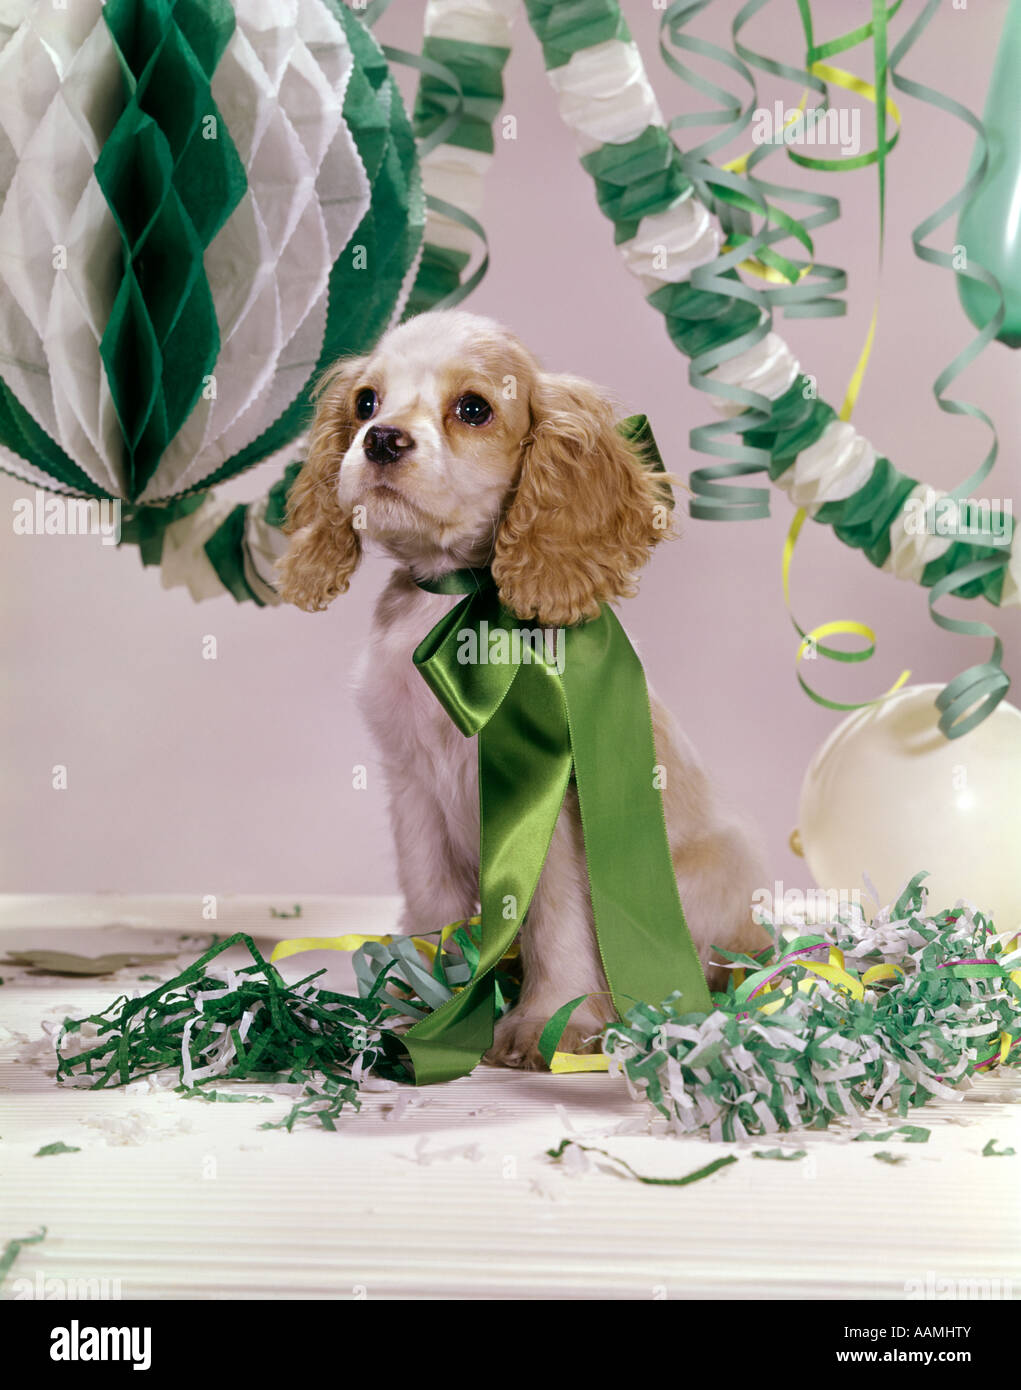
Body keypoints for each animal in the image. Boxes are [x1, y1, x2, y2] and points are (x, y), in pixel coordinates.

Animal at [275, 309, 761, 1067]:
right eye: (365, 402)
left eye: (473, 409)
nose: (380, 439)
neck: (456, 600)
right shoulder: (411, 787)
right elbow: (434, 904)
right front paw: (431, 1005)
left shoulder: (555, 808)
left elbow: (558, 920)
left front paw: (550, 1022)